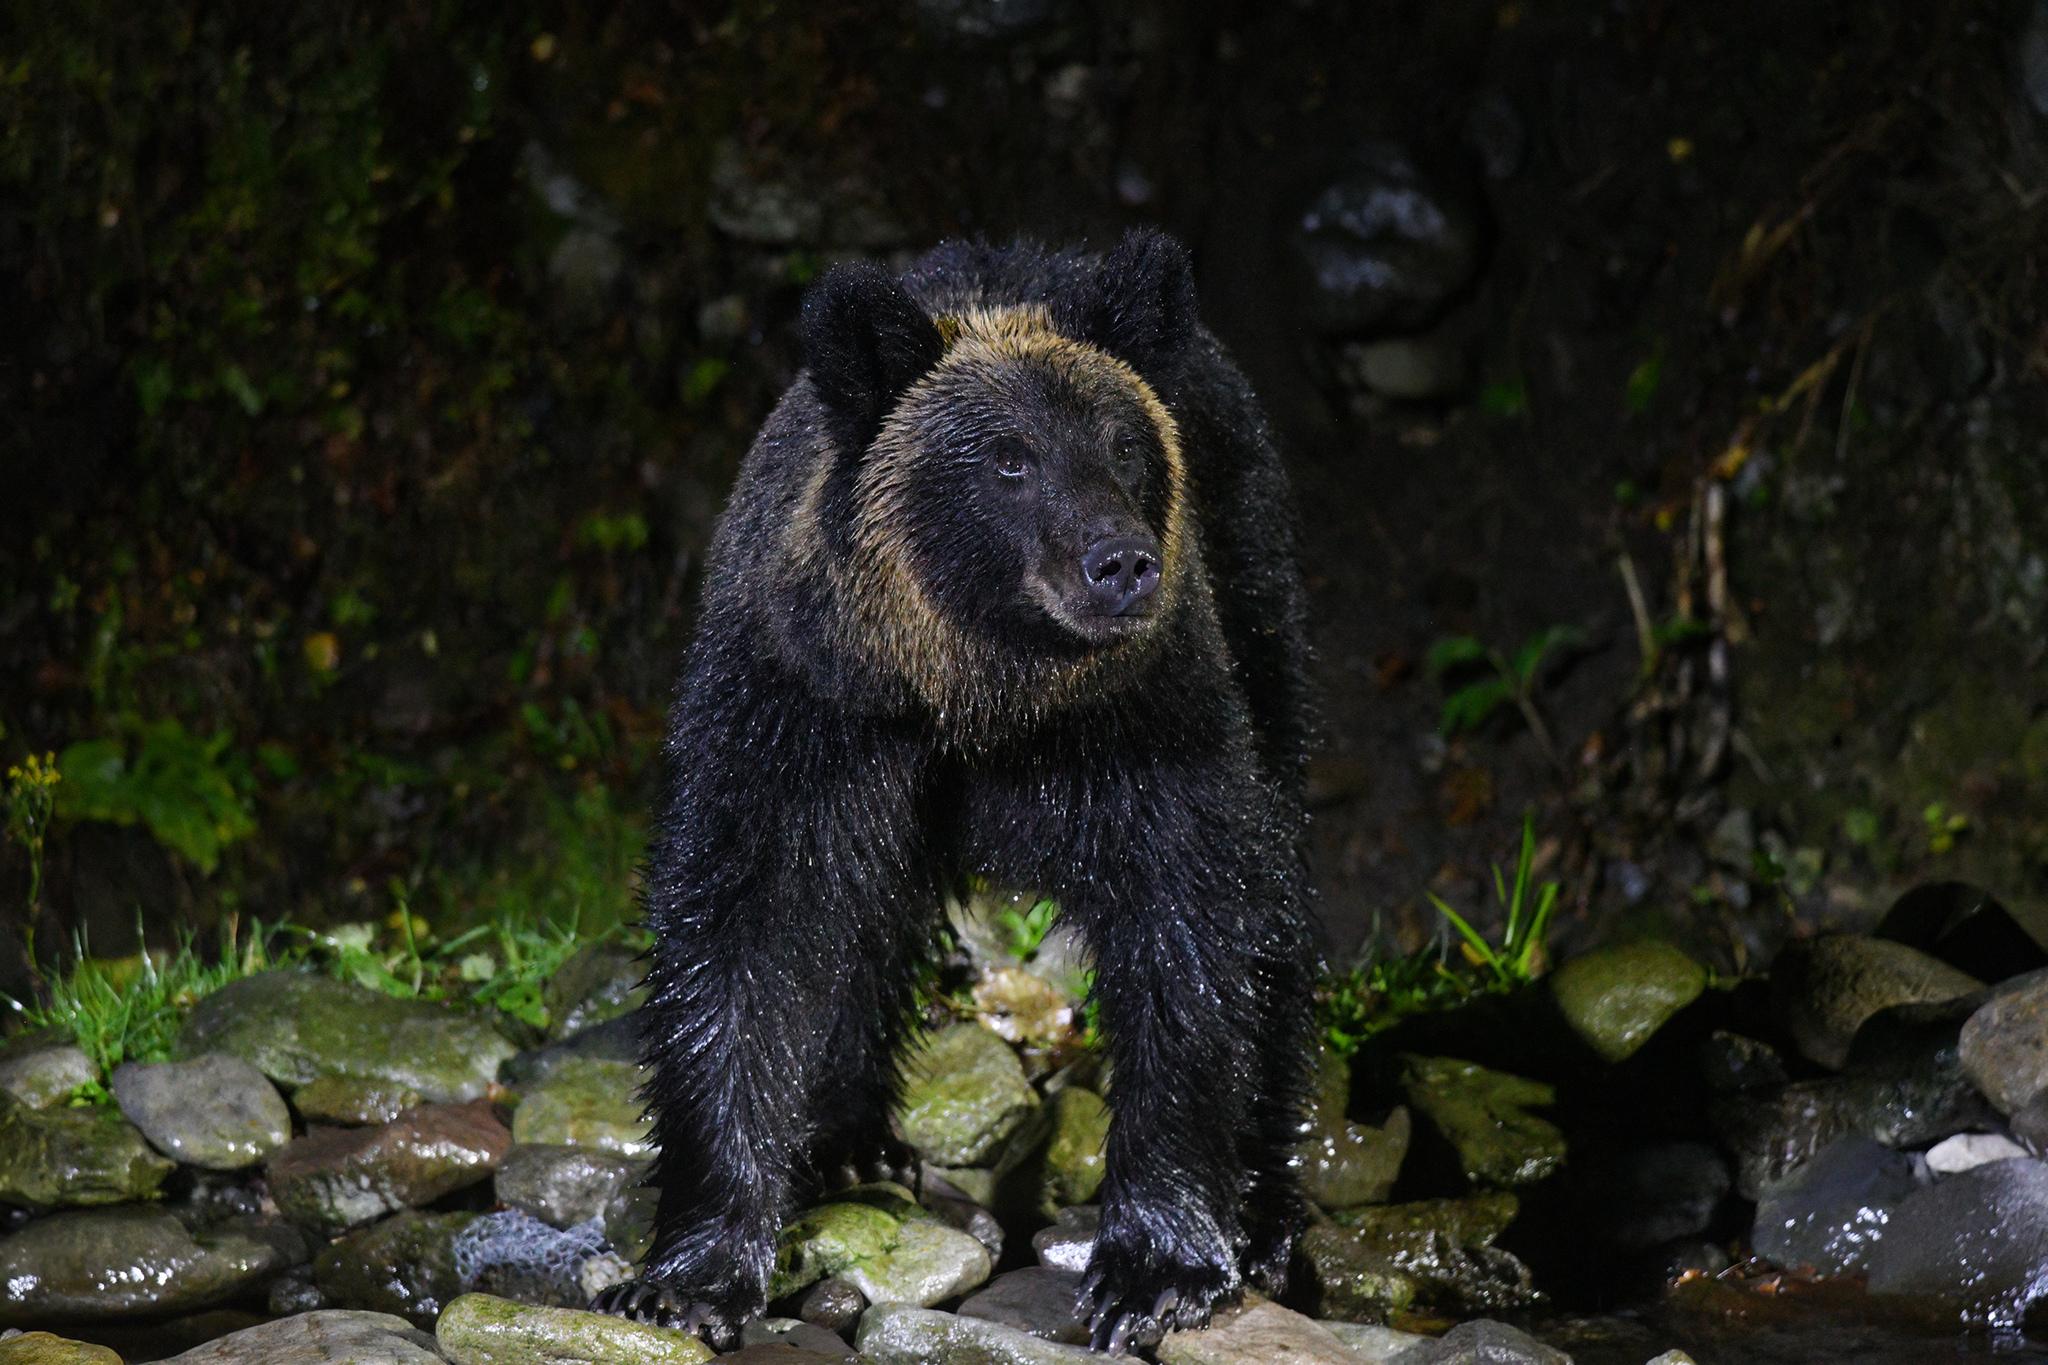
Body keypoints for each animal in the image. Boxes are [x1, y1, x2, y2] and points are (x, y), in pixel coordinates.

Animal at [592, 230, 1321, 1353]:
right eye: (1008, 458)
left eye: (1121, 445)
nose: (1120, 564)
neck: (974, 695)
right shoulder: (803, 712)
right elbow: (742, 928)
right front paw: (690, 1271)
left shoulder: (1145, 718)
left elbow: (1193, 921)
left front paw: (1157, 1263)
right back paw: (846, 1137)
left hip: (1256, 599)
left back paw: (1271, 1211)